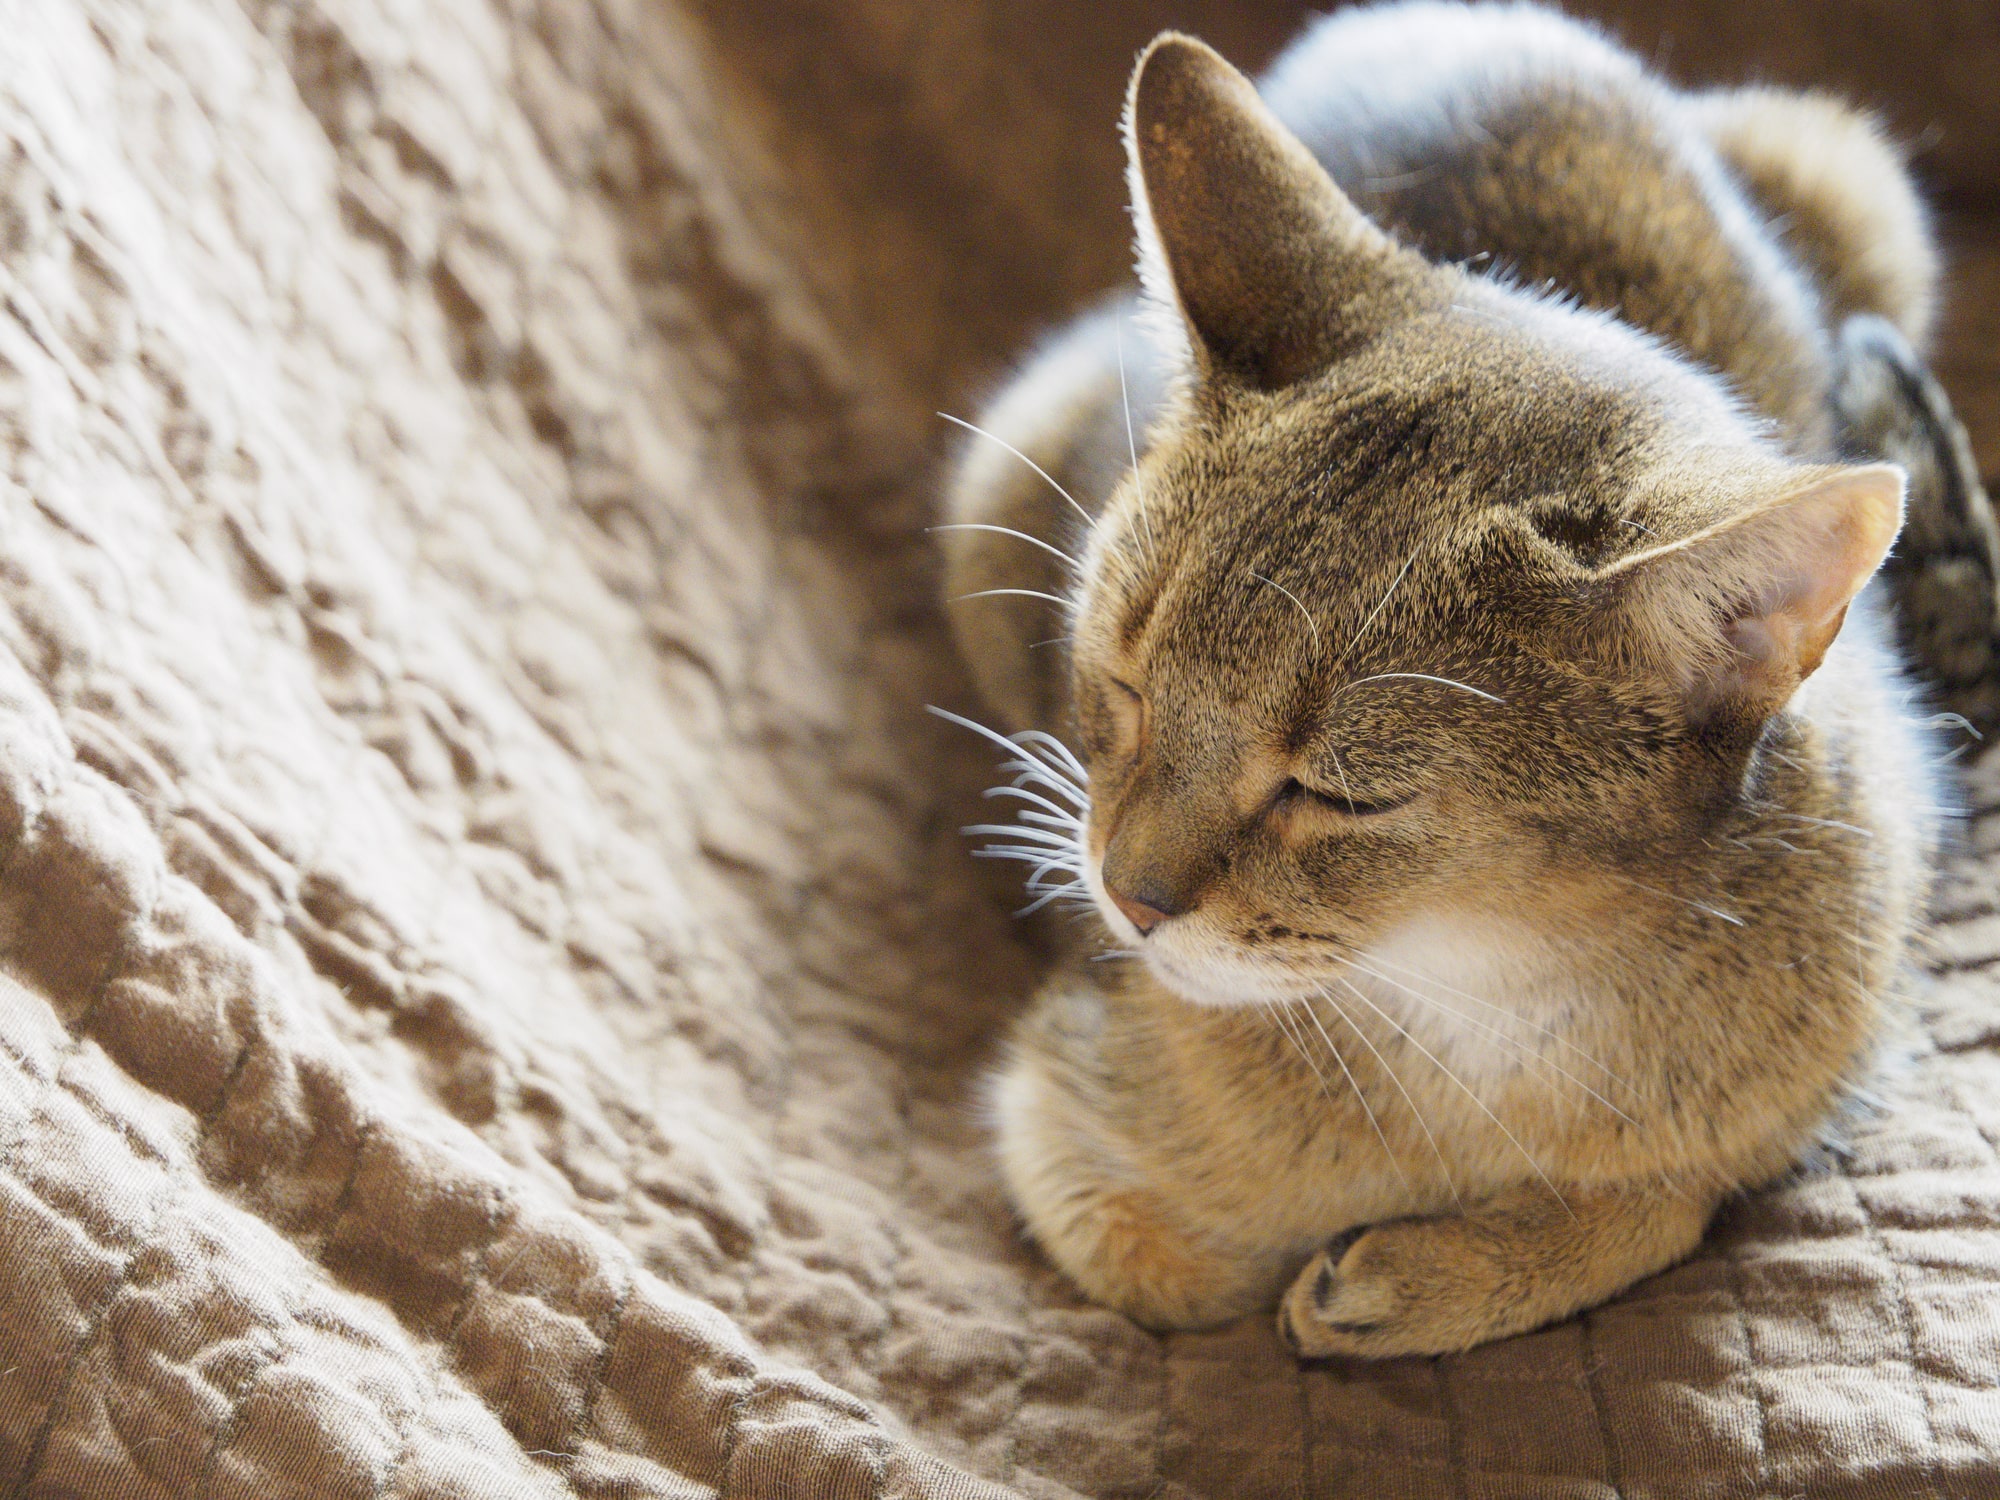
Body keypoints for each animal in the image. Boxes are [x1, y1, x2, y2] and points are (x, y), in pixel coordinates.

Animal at [944, 0, 1944, 1360]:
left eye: (1339, 795)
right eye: (1122, 686)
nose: (1123, 901)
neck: (1495, 996)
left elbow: (1675, 1197)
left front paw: (1435, 1274)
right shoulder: (1070, 1141)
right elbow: (1187, 1264)